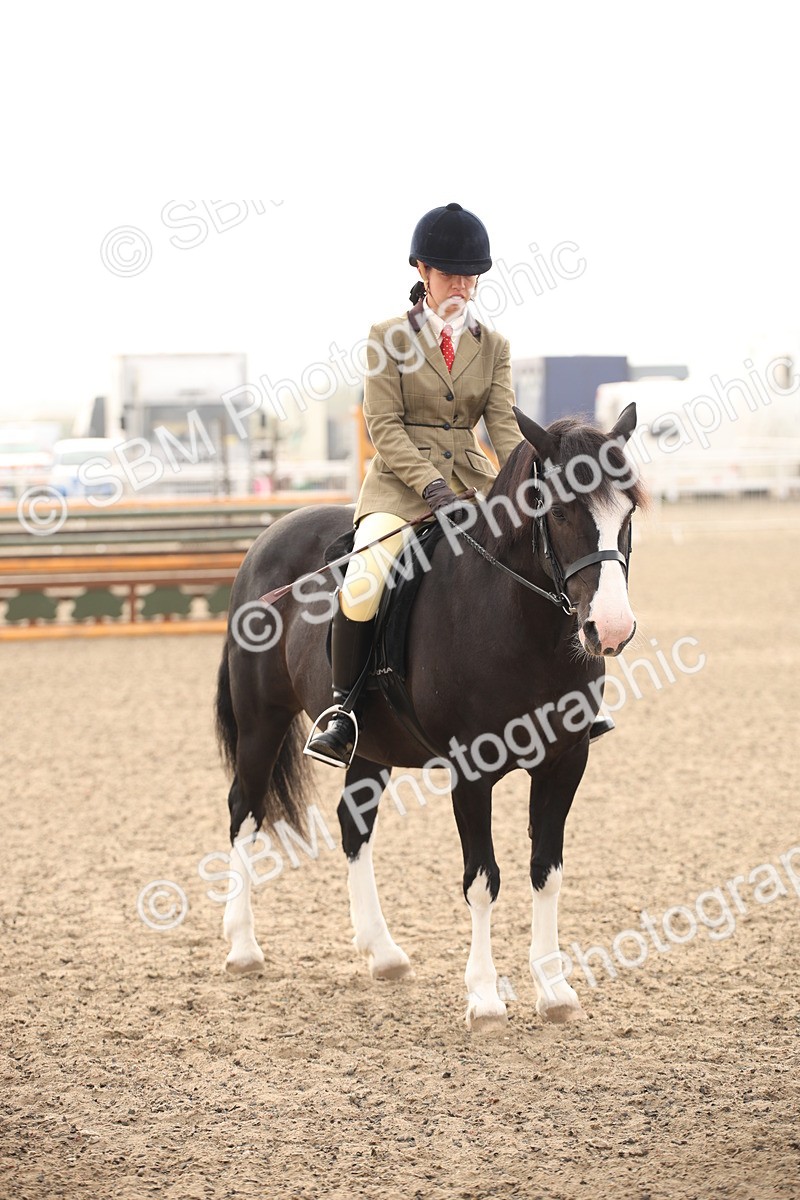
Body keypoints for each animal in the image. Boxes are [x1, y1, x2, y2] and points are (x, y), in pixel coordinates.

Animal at [214, 403, 646, 1030]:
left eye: (628, 511)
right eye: (561, 511)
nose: (609, 630)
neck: (522, 624)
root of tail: (269, 537)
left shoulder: (566, 762)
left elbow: (547, 870)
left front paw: (554, 989)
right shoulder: (472, 770)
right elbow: (483, 880)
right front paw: (485, 998)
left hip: (371, 745)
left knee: (353, 825)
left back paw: (383, 953)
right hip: (261, 720)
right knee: (244, 811)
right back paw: (244, 946)